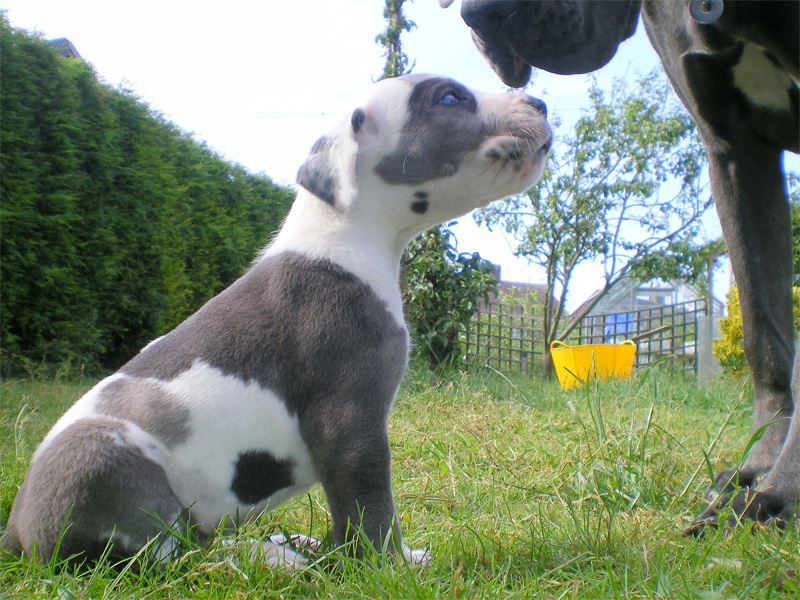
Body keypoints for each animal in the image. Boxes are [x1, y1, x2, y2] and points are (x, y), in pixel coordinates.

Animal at [1, 74, 552, 568]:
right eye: (449, 98)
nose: (541, 102)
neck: (341, 240)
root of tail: (15, 530)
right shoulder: (349, 425)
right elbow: (369, 511)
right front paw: (389, 566)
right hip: (104, 460)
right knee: (171, 559)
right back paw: (269, 557)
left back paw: (289, 545)